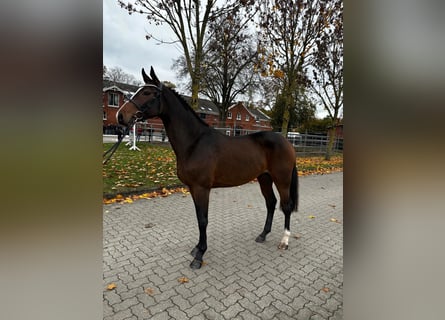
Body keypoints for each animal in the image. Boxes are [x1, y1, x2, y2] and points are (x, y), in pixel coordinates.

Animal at [116, 67, 298, 270]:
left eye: (147, 93)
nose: (120, 116)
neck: (195, 142)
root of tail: (286, 142)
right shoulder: (193, 188)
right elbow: (198, 218)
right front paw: (197, 248)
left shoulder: (202, 188)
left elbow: (203, 220)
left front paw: (199, 256)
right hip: (264, 178)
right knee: (271, 203)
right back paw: (263, 235)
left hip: (282, 179)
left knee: (286, 206)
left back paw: (284, 241)